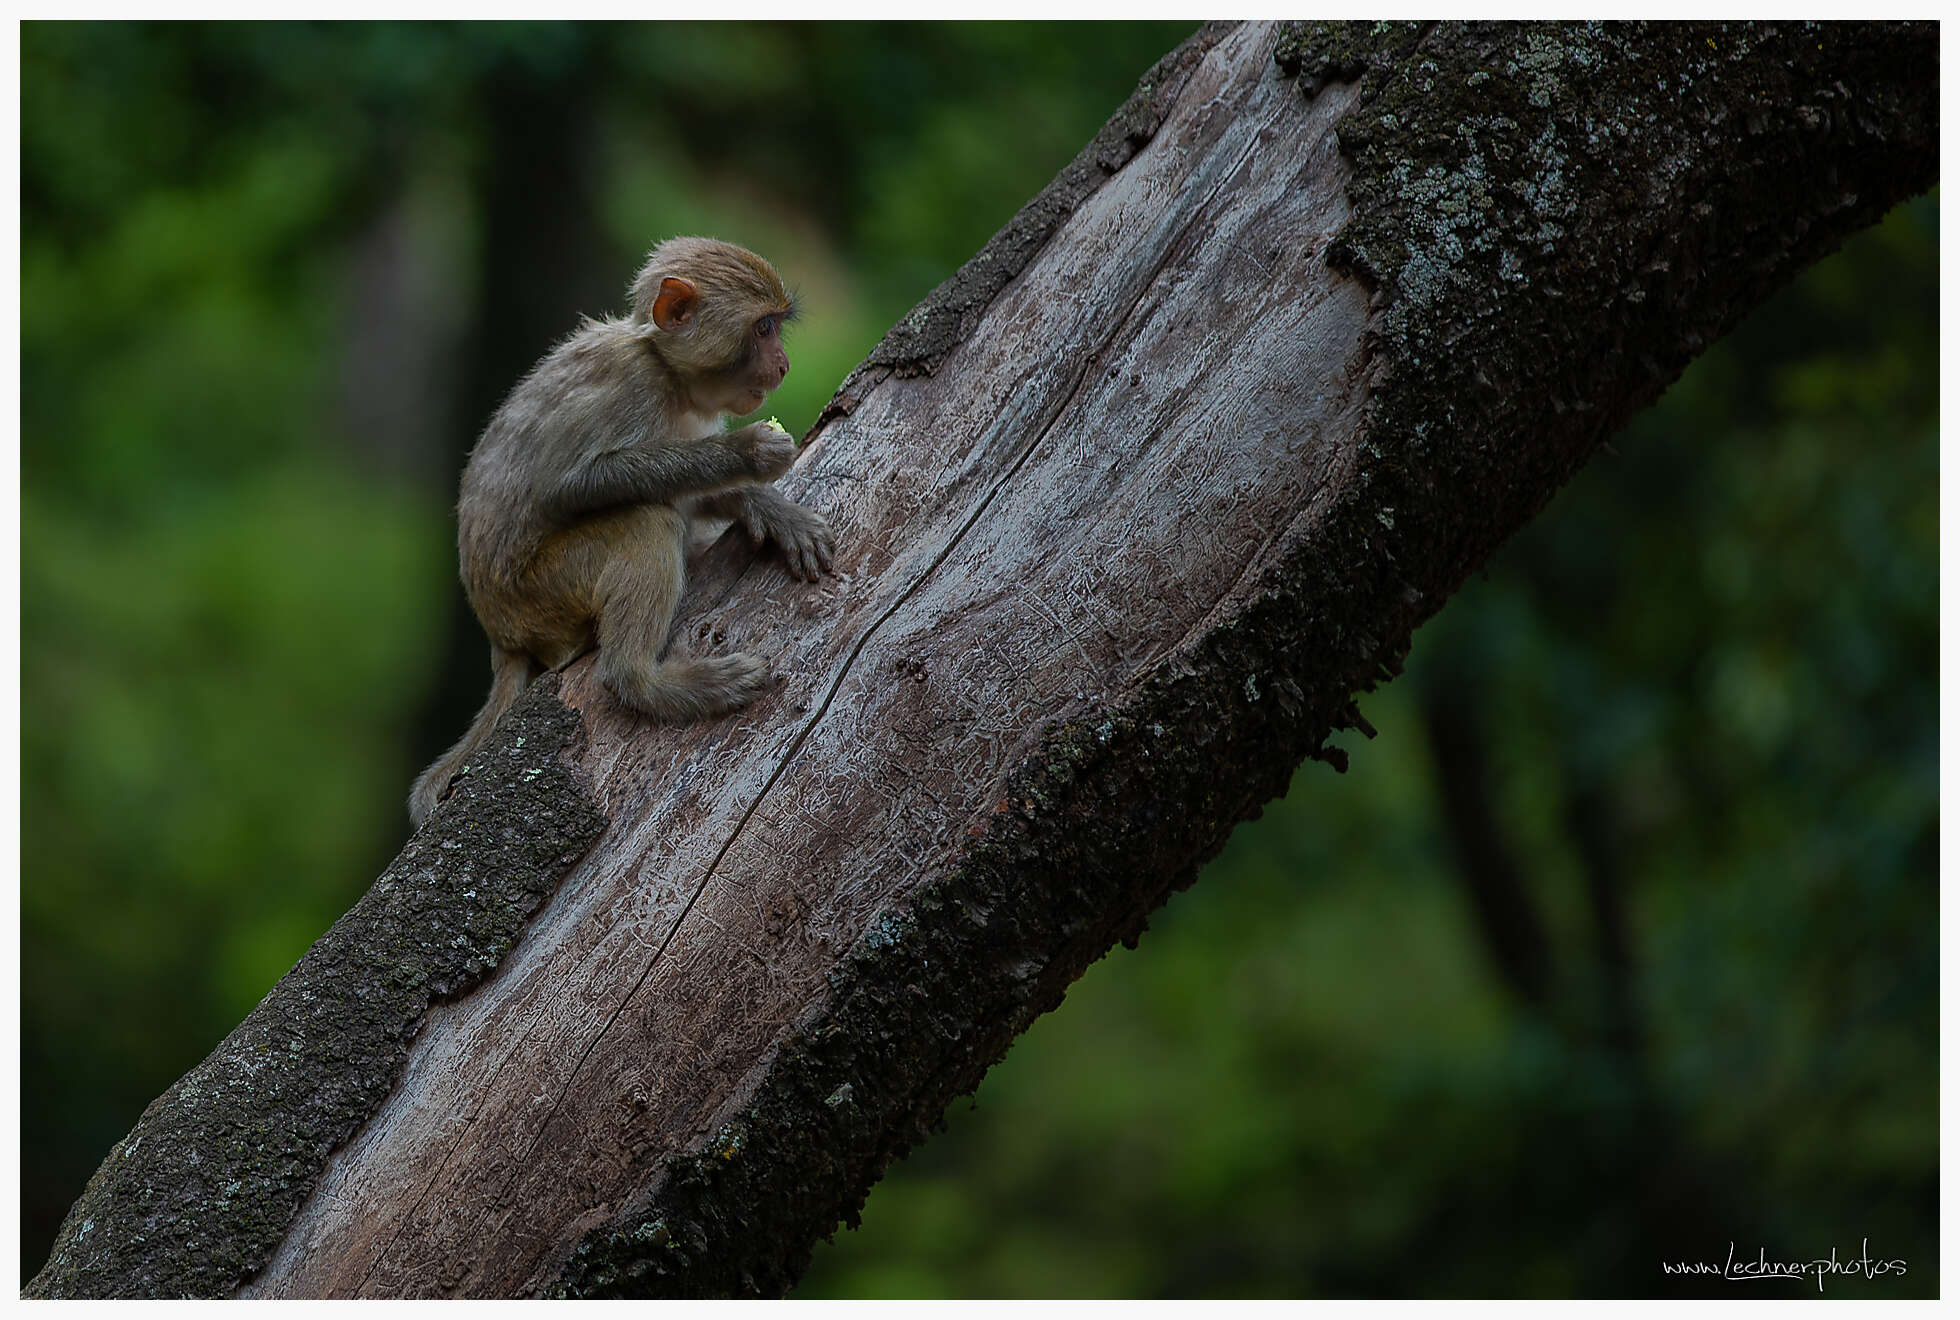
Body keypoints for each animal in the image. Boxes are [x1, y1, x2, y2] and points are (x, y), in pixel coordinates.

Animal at [408, 236, 833, 827]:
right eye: (765, 328)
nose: (785, 364)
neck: (669, 374)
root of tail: (500, 634)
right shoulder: (630, 386)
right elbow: (570, 485)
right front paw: (746, 453)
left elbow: (695, 498)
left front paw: (769, 508)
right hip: (541, 593)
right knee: (645, 521)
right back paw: (650, 684)